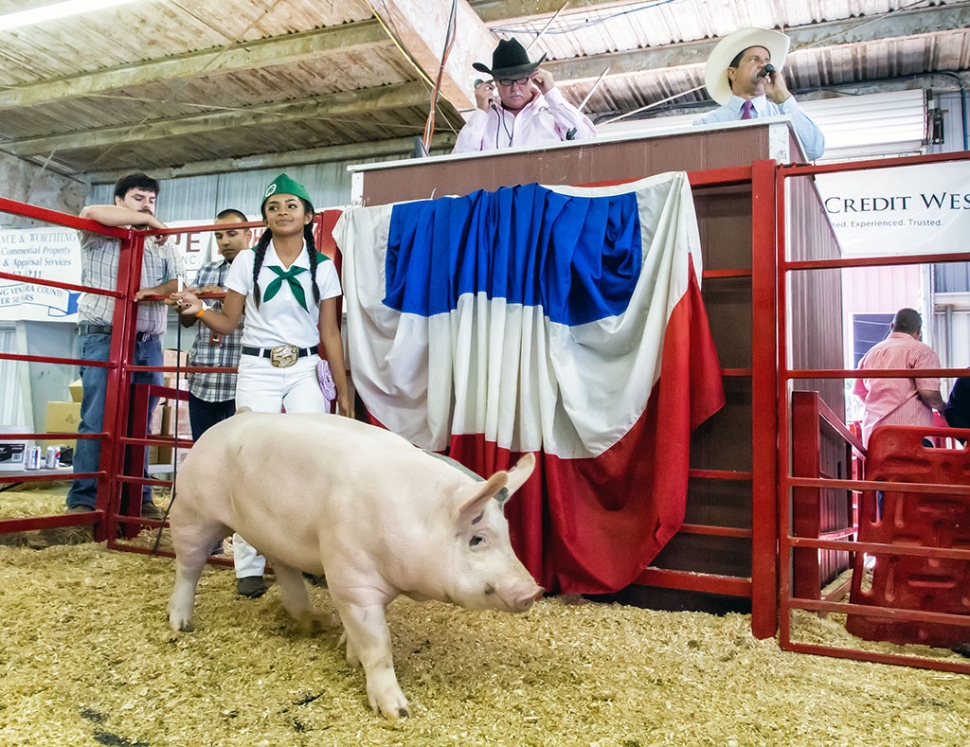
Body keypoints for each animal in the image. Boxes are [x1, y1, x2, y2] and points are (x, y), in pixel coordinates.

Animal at [168, 412, 544, 720]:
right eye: (477, 538)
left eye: (507, 533)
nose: (534, 590)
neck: (414, 518)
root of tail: (224, 424)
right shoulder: (351, 575)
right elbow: (378, 644)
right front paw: (397, 712)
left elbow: (361, 632)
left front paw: (347, 652)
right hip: (192, 511)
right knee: (188, 567)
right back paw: (181, 625)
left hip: (275, 536)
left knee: (285, 569)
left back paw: (310, 622)